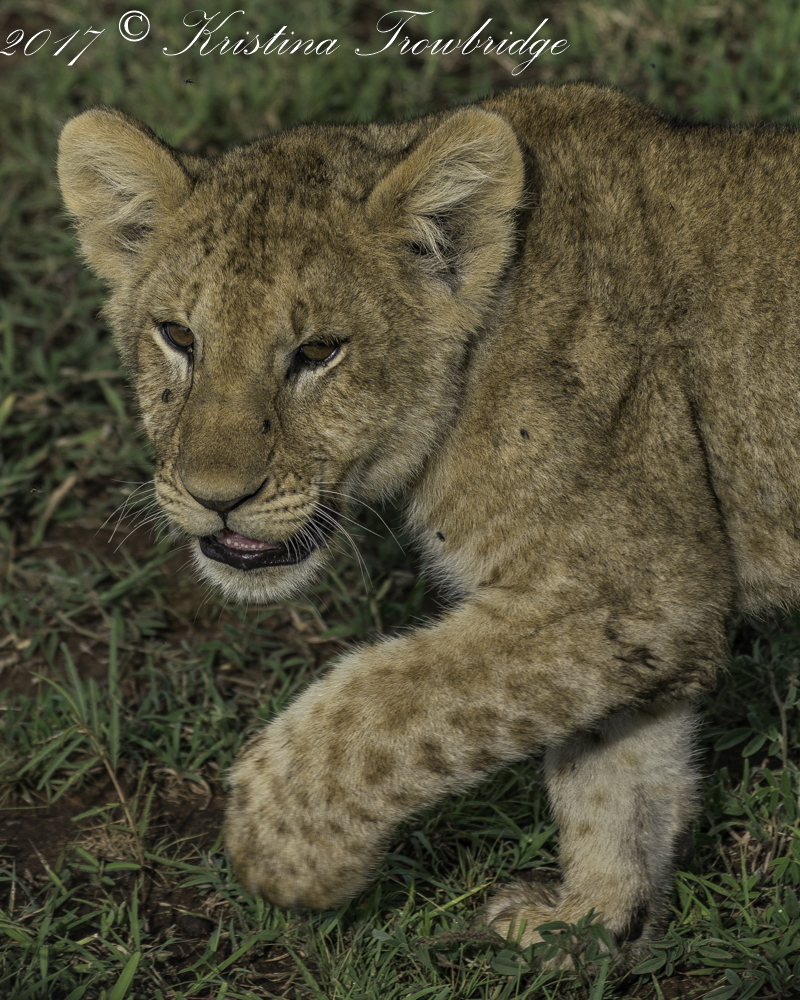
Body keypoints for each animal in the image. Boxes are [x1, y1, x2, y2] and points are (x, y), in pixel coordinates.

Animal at [57, 81, 800, 969]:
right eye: (178, 336)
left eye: (318, 351)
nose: (217, 496)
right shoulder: (643, 620)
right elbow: (617, 777)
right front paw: (590, 926)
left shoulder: (638, 586)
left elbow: (388, 704)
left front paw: (287, 854)